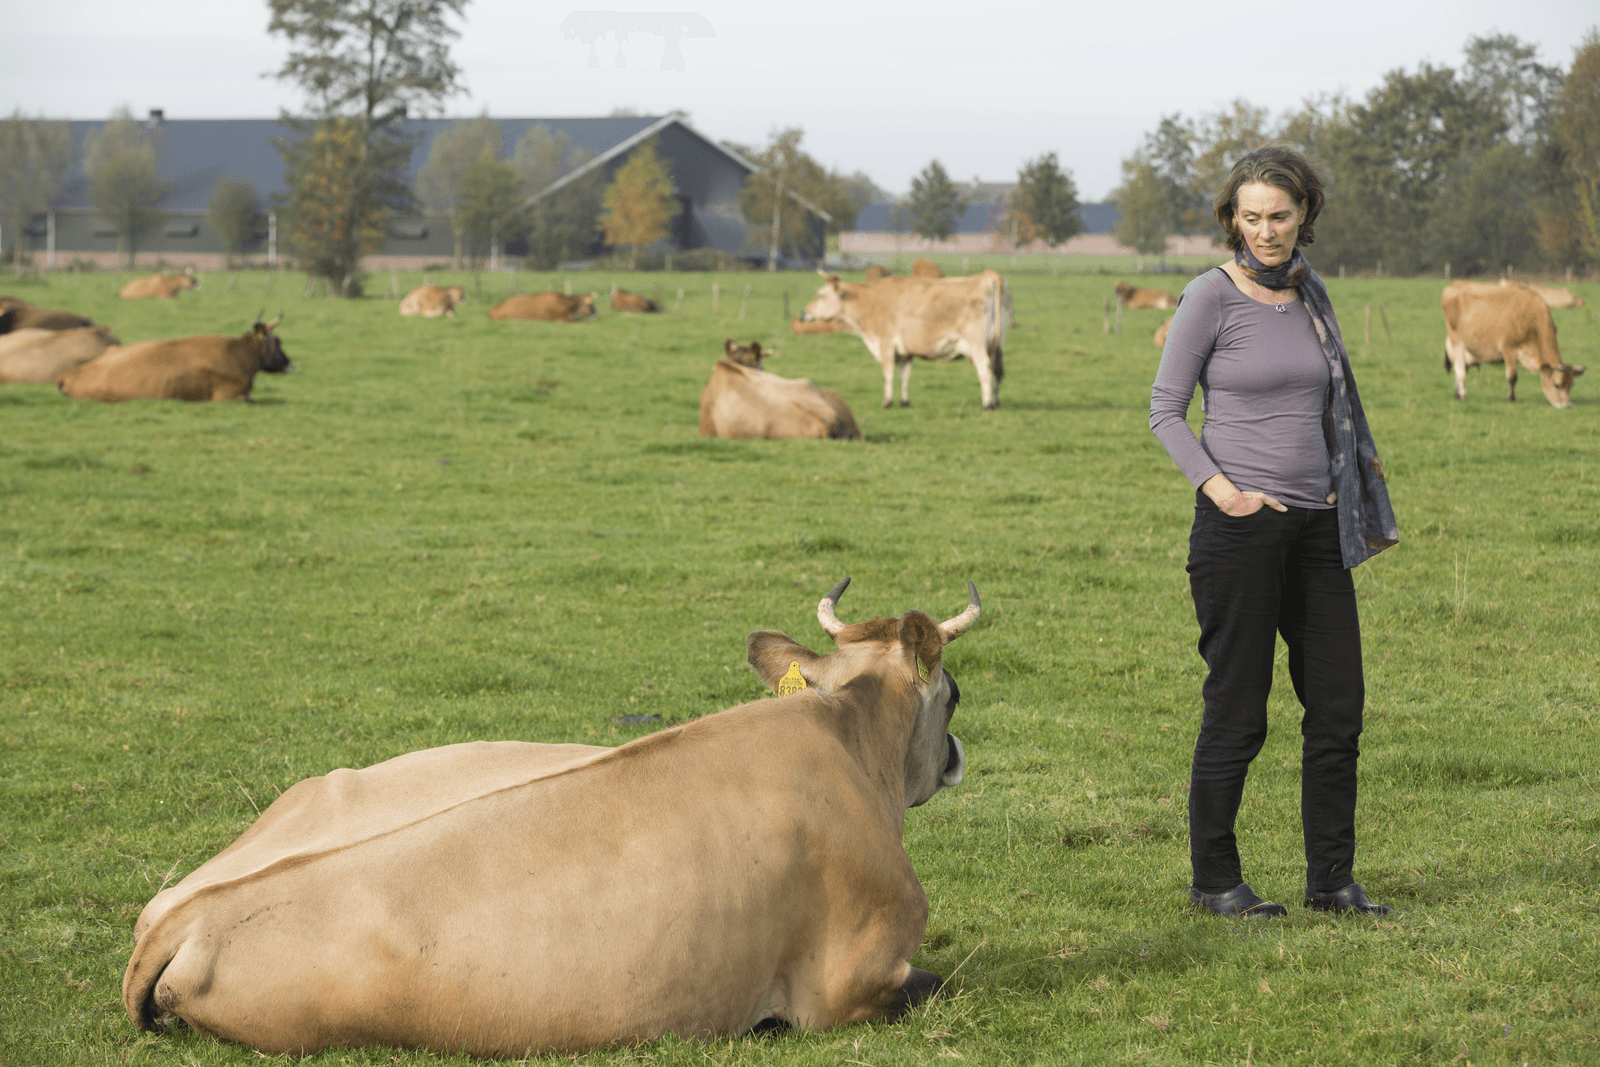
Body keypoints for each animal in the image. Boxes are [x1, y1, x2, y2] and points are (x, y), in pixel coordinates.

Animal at [121, 579, 979, 1057]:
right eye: (956, 694)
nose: (955, 753)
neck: (849, 736)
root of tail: (191, 910)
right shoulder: (850, 984)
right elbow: (936, 981)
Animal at [801, 270, 1010, 410]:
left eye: (820, 294)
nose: (803, 313)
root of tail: (988, 275)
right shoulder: (906, 351)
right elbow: (904, 375)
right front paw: (904, 401)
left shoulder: (885, 343)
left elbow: (888, 374)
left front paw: (887, 402)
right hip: (998, 345)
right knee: (997, 372)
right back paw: (996, 401)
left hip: (977, 344)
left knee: (984, 370)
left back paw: (987, 404)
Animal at [1442, 280, 1584, 408]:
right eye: (1557, 384)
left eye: (1571, 385)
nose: (1568, 405)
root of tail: (1455, 284)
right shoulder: (1508, 349)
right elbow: (1512, 377)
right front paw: (1511, 398)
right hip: (1457, 342)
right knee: (1460, 370)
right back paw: (1463, 395)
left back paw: (1457, 394)